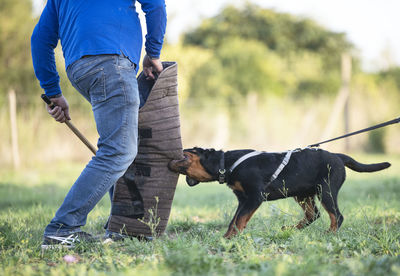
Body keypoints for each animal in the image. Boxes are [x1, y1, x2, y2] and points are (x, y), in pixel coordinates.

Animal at [169, 148, 390, 238]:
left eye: (185, 150)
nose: (169, 160)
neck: (226, 163)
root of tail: (338, 156)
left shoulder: (254, 196)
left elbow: (240, 220)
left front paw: (230, 239)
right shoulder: (243, 199)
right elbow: (234, 219)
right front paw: (226, 236)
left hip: (326, 190)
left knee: (336, 215)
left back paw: (330, 233)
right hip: (302, 194)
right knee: (313, 214)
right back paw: (291, 229)